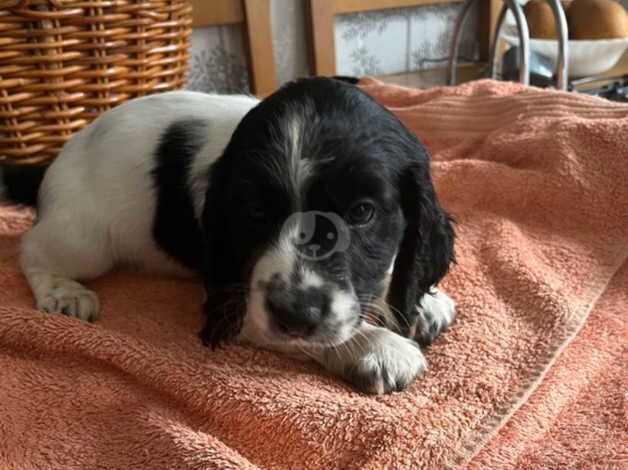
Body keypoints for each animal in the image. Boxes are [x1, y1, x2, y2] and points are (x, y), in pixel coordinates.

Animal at [19, 77, 454, 392]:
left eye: (362, 212)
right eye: (255, 212)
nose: (295, 313)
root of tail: (58, 157)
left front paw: (422, 302)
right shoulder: (233, 299)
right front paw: (379, 347)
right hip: (87, 241)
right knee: (31, 249)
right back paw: (64, 294)